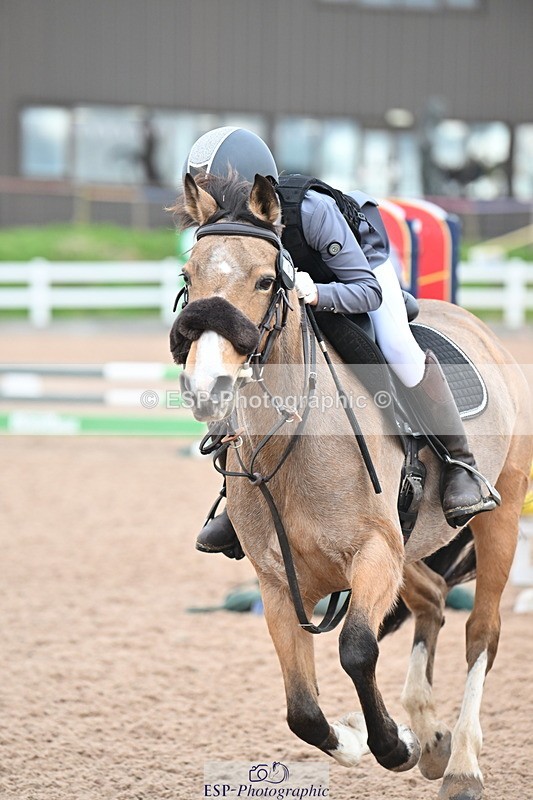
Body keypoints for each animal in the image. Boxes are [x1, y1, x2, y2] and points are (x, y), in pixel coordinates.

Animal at [169, 171, 532, 800]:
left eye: (268, 280)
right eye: (189, 278)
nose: (207, 386)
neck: (290, 444)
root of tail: (480, 327)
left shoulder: (374, 554)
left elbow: (358, 649)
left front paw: (392, 746)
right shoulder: (278, 581)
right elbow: (302, 711)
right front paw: (366, 739)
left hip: (500, 517)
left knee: (481, 632)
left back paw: (461, 763)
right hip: (415, 544)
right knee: (433, 600)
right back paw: (432, 737)